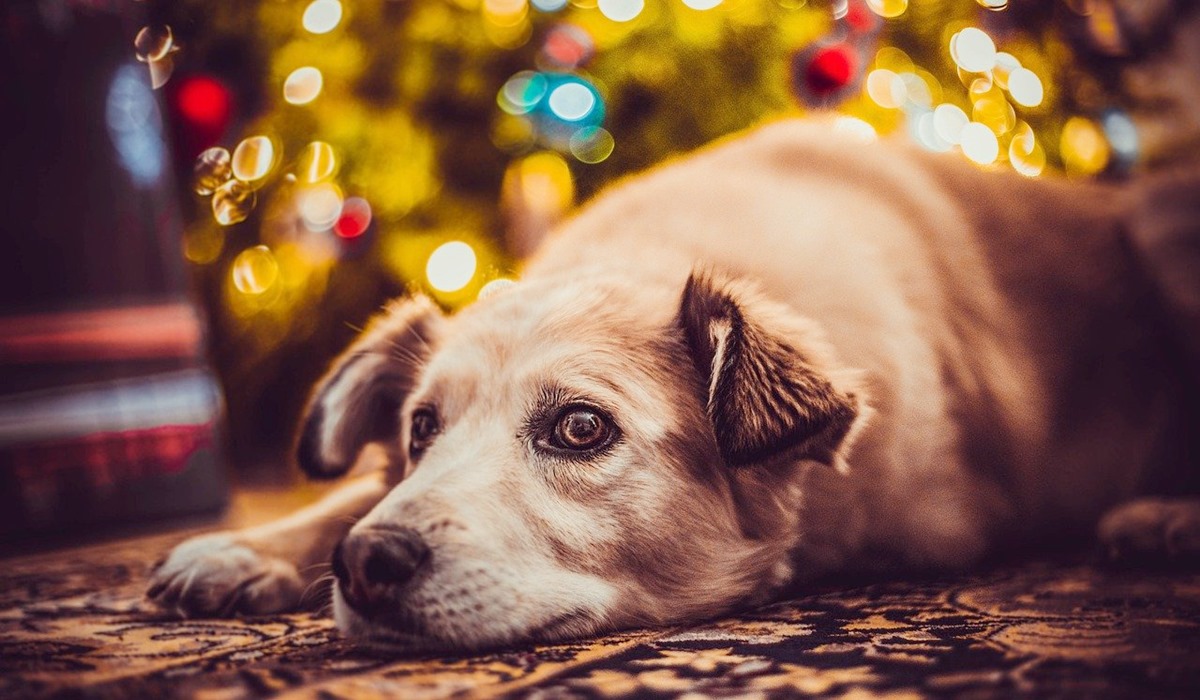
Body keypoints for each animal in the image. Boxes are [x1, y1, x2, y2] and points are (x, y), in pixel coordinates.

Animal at [150, 118, 1200, 653]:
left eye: (580, 429)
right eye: (419, 430)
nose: (366, 566)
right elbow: (353, 496)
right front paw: (249, 552)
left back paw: (1162, 518)